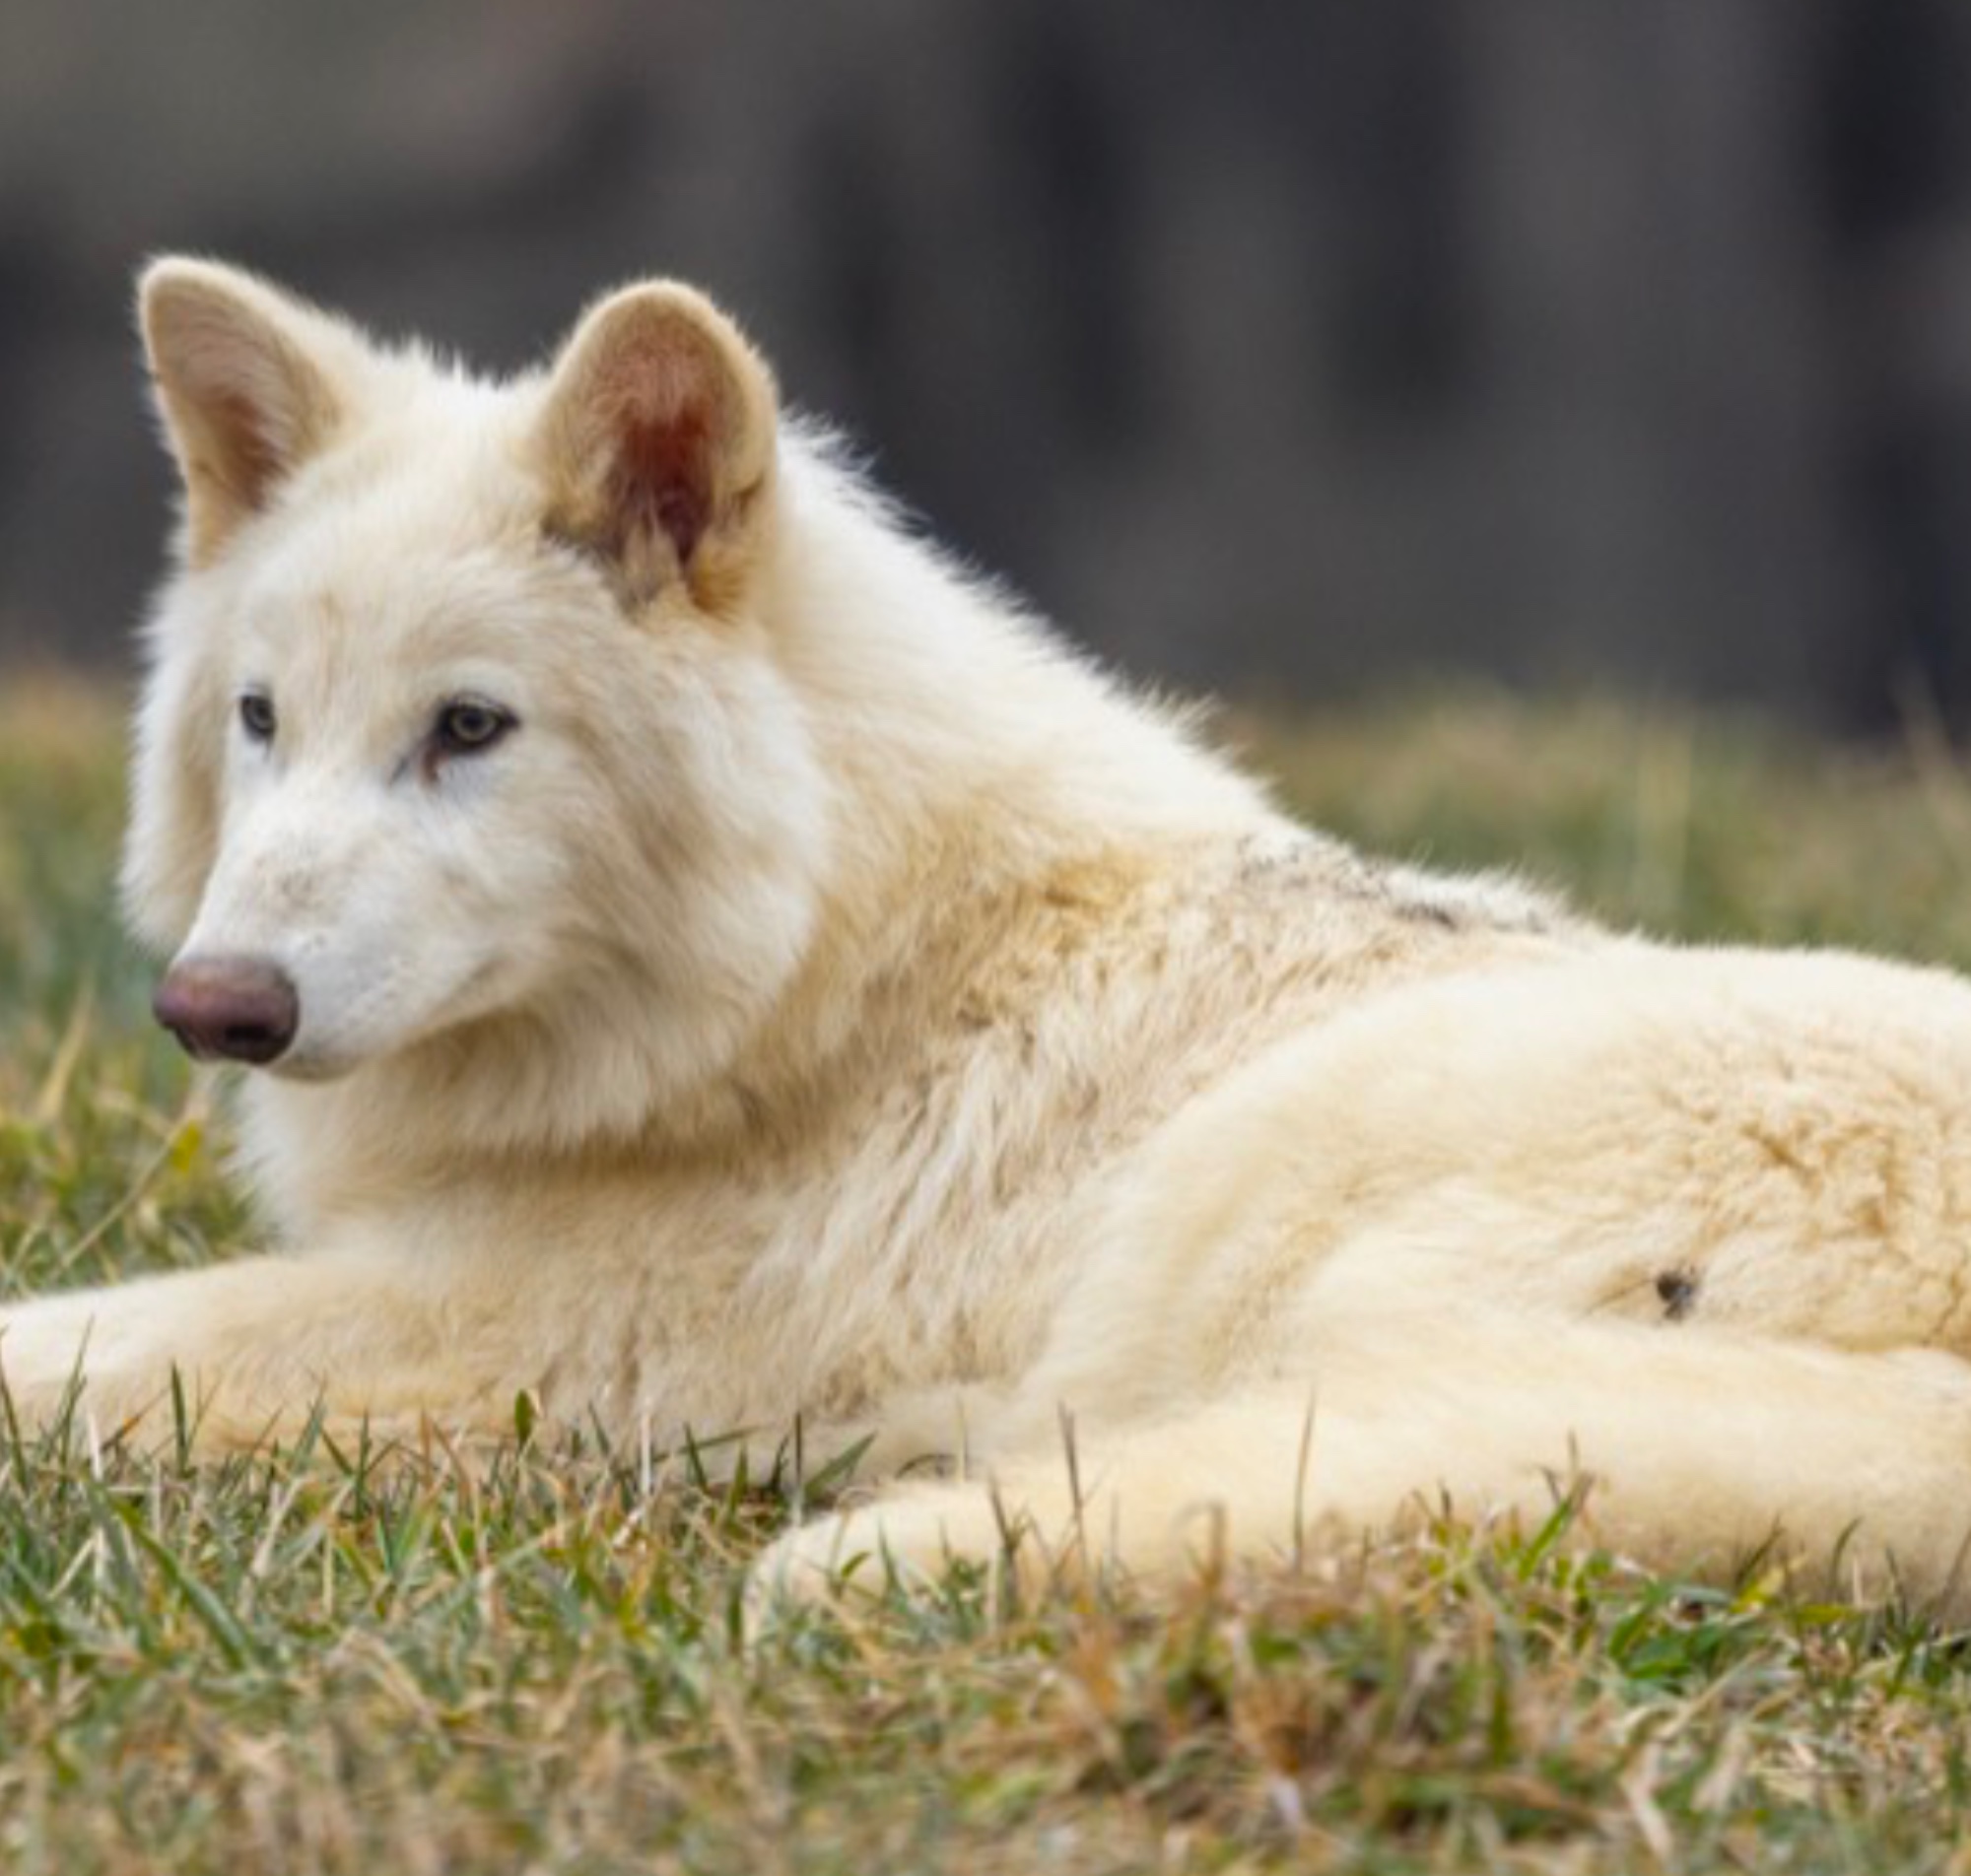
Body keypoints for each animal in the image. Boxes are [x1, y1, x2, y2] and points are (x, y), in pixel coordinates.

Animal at [6, 256, 1971, 1611]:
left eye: (469, 727)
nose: (214, 1005)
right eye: (262, 718)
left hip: (1259, 1205)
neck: (836, 975)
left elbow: (59, 1346)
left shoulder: (510, 1338)